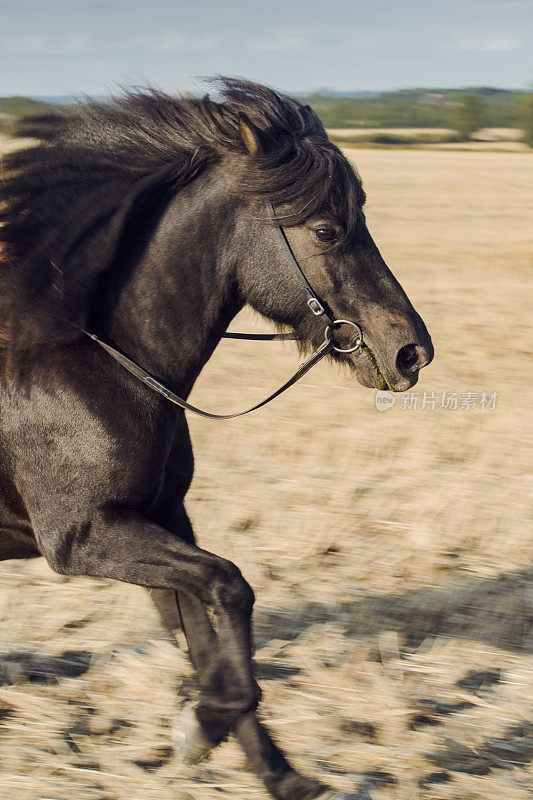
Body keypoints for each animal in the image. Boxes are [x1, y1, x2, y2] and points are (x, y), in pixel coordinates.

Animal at [0, 76, 432, 800]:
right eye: (327, 228)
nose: (411, 352)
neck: (100, 361)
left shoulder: (159, 521)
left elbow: (207, 641)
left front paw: (280, 774)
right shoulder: (82, 537)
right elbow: (232, 589)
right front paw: (201, 727)